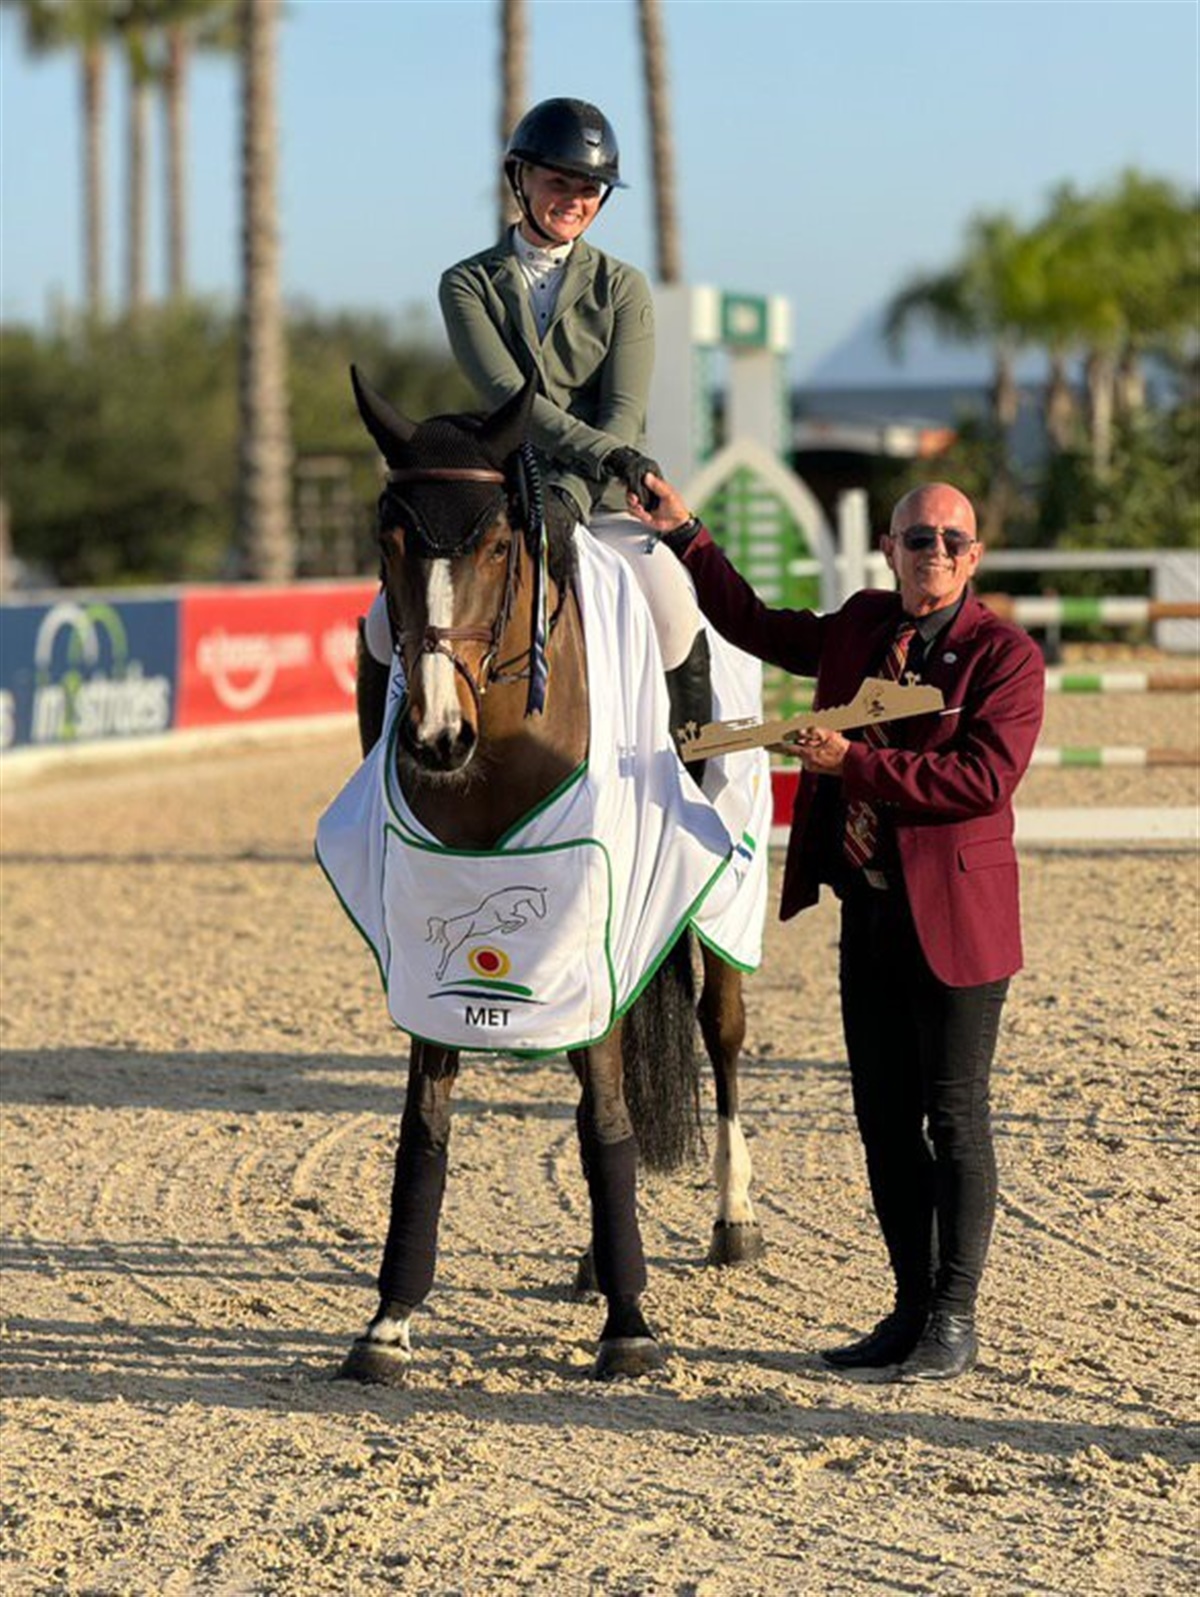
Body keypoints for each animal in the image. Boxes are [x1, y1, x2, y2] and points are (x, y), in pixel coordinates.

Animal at [324, 368, 765, 1383]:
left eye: (496, 542)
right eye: (387, 541)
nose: (435, 737)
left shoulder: (588, 903)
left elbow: (604, 1107)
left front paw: (629, 1324)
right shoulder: (430, 920)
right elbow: (426, 1119)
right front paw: (389, 1318)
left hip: (720, 896)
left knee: (719, 1030)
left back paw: (732, 1218)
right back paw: (598, 1255)